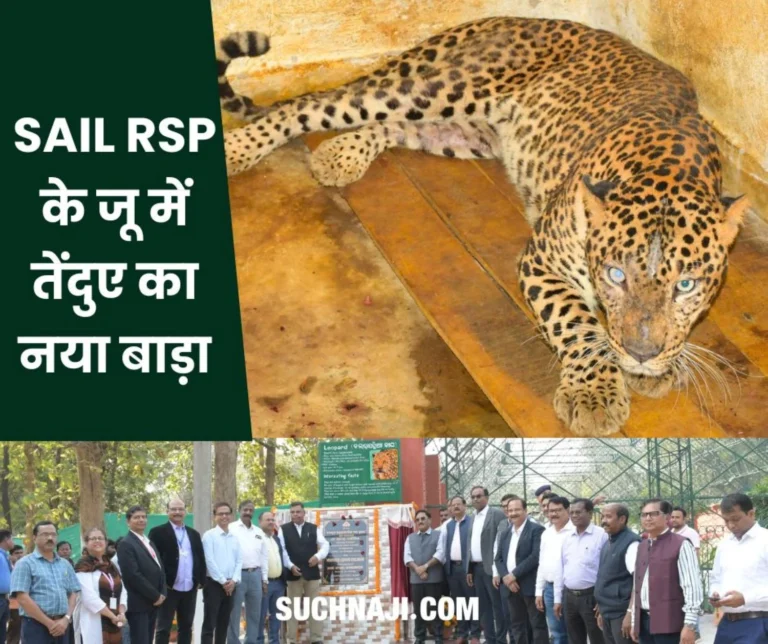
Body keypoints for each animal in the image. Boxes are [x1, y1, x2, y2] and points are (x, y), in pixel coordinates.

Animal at [216, 17, 749, 436]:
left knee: (388, 126)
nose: (640, 354)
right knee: (308, 106)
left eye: (686, 286)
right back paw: (236, 149)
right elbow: (576, 324)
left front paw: (656, 366)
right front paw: (594, 394)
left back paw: (340, 154)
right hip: (444, 88)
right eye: (616, 276)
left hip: (461, 131)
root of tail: (502, 20)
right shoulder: (543, 262)